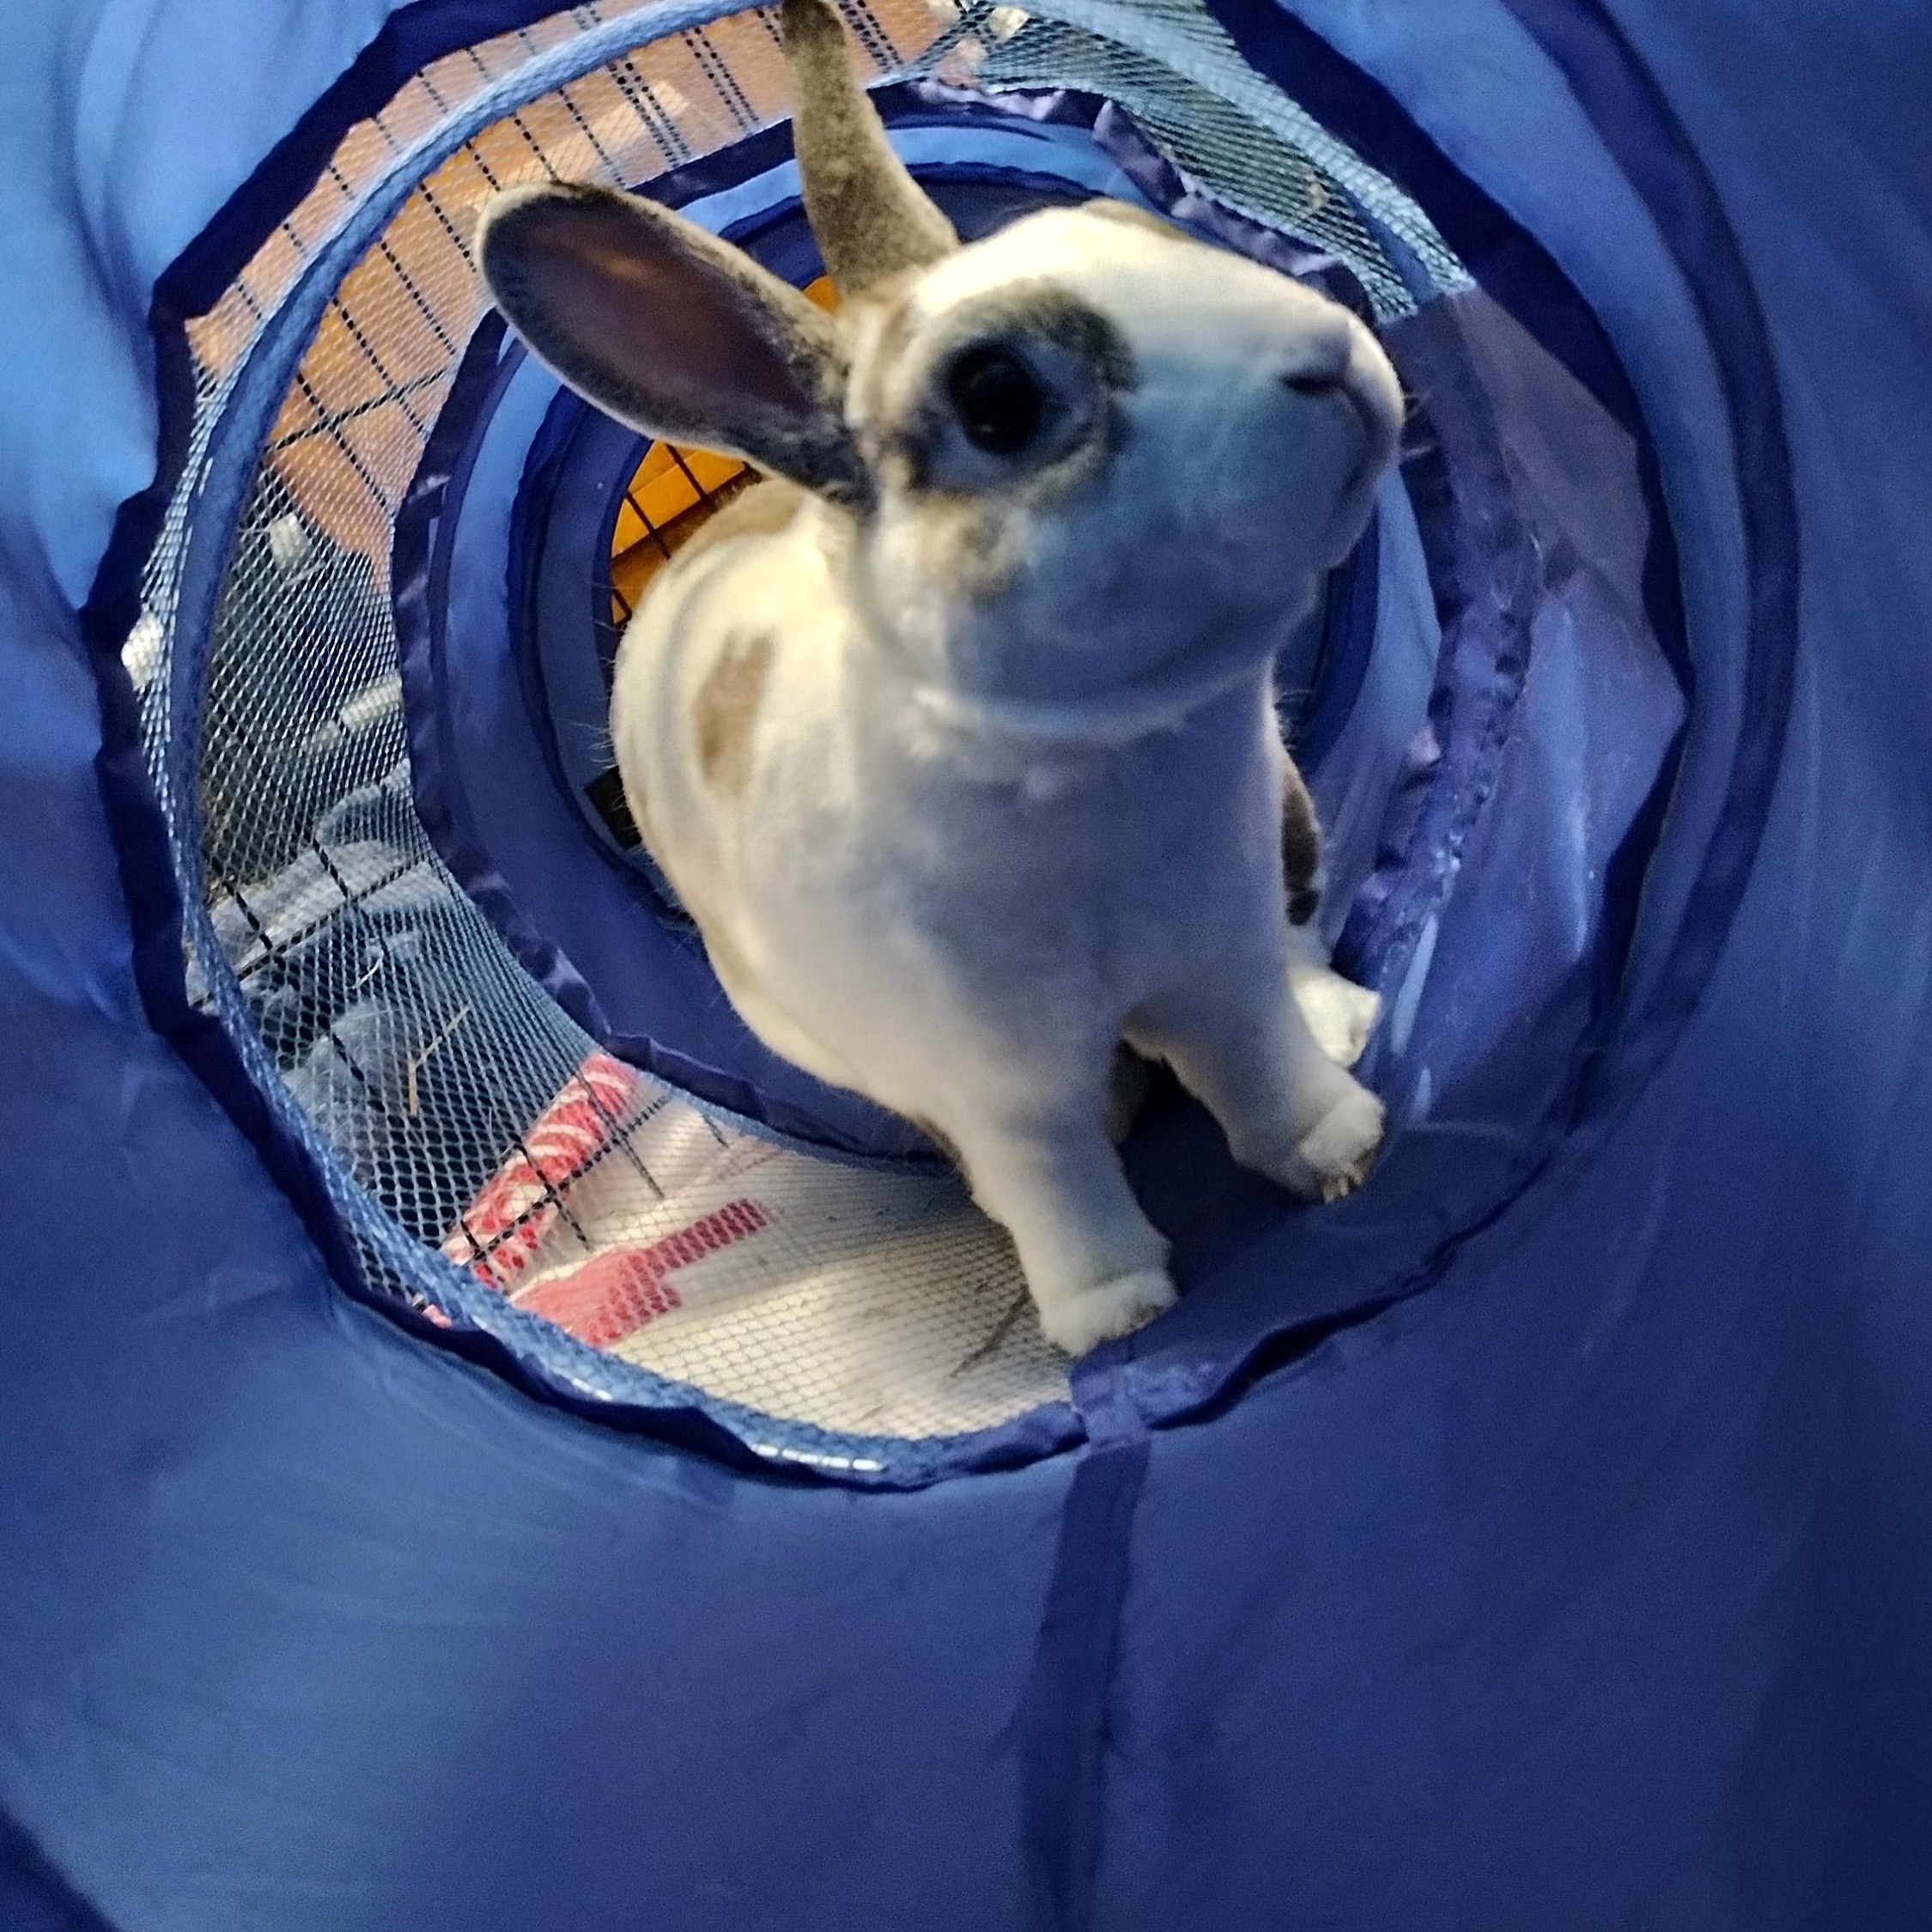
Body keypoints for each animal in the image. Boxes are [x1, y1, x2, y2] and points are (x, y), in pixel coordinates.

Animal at [474, 0, 1401, 1357]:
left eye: (1141, 226)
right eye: (995, 395)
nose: (1331, 354)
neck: (1087, 761)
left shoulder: (1219, 955)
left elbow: (1259, 1061)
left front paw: (1340, 1148)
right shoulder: (994, 1078)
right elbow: (1050, 1173)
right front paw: (1110, 1314)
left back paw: (1345, 1023)